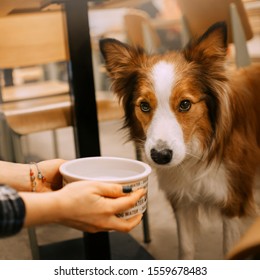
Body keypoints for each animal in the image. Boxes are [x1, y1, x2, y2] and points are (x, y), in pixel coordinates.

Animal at [99, 22, 260, 260]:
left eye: (185, 104)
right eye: (144, 106)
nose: (160, 156)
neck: (196, 153)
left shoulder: (233, 201)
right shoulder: (182, 200)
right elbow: (186, 248)